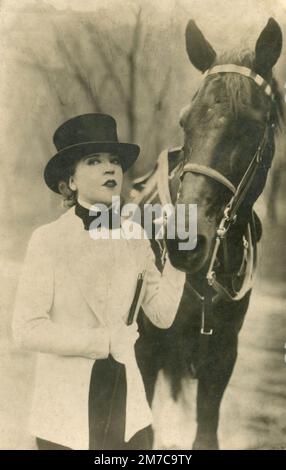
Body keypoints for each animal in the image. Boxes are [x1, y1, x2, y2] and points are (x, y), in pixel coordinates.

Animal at [134, 18, 284, 450]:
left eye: (252, 123)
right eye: (186, 120)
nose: (185, 240)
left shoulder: (222, 352)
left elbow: (206, 429)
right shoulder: (145, 346)